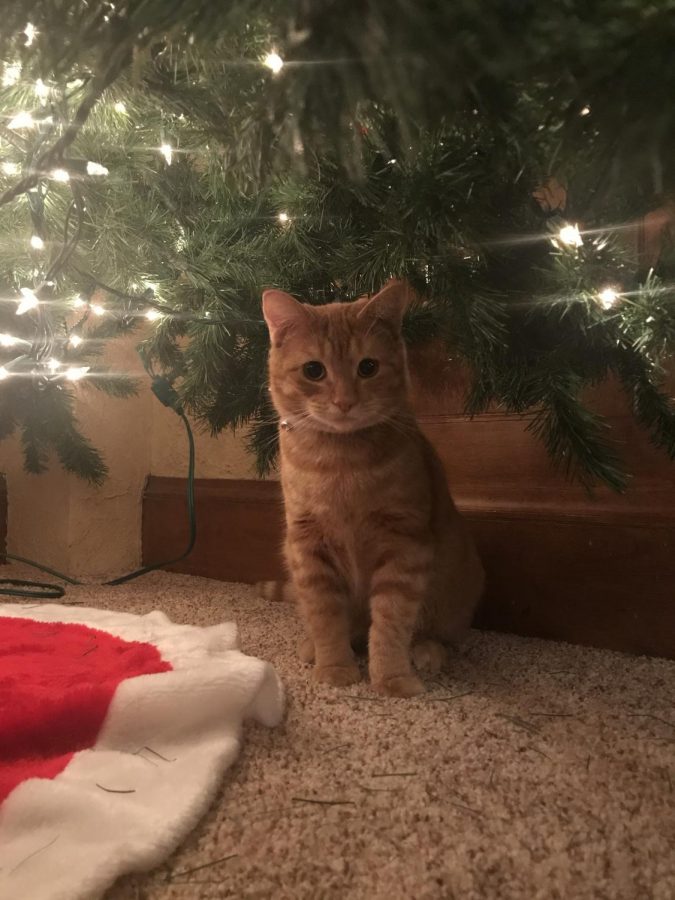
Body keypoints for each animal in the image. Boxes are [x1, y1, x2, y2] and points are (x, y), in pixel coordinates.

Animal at [262, 282, 484, 696]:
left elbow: (391, 622)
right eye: (314, 371)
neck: (341, 464)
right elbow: (326, 616)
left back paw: (428, 651)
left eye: (368, 367)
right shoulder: (308, 547)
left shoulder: (404, 545)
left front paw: (392, 677)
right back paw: (313, 647)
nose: (344, 402)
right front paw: (334, 667)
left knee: (441, 633)